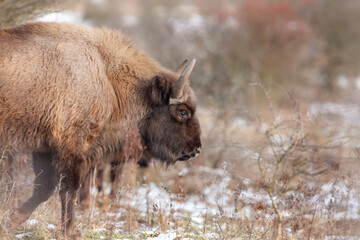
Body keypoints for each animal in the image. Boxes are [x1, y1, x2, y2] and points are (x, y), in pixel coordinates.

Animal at [0, 22, 201, 238]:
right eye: (182, 111)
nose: (196, 149)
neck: (106, 76)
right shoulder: (71, 147)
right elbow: (67, 189)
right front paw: (72, 232)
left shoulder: (45, 148)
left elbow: (44, 188)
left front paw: (12, 220)